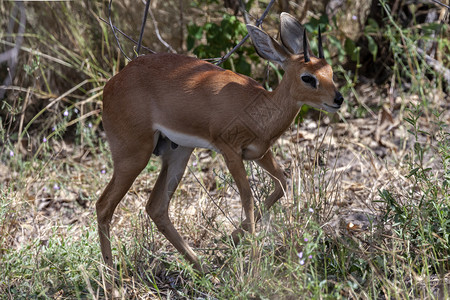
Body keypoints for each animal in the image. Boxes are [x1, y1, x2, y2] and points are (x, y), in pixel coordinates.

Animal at [96, 12, 342, 274]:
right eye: (308, 77)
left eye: (330, 71)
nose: (338, 99)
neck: (260, 108)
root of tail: (112, 83)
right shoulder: (230, 152)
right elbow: (247, 198)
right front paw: (253, 264)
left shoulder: (260, 153)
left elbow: (282, 183)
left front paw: (232, 239)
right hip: (133, 156)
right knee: (104, 206)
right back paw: (112, 278)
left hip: (179, 153)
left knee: (156, 207)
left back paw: (204, 270)